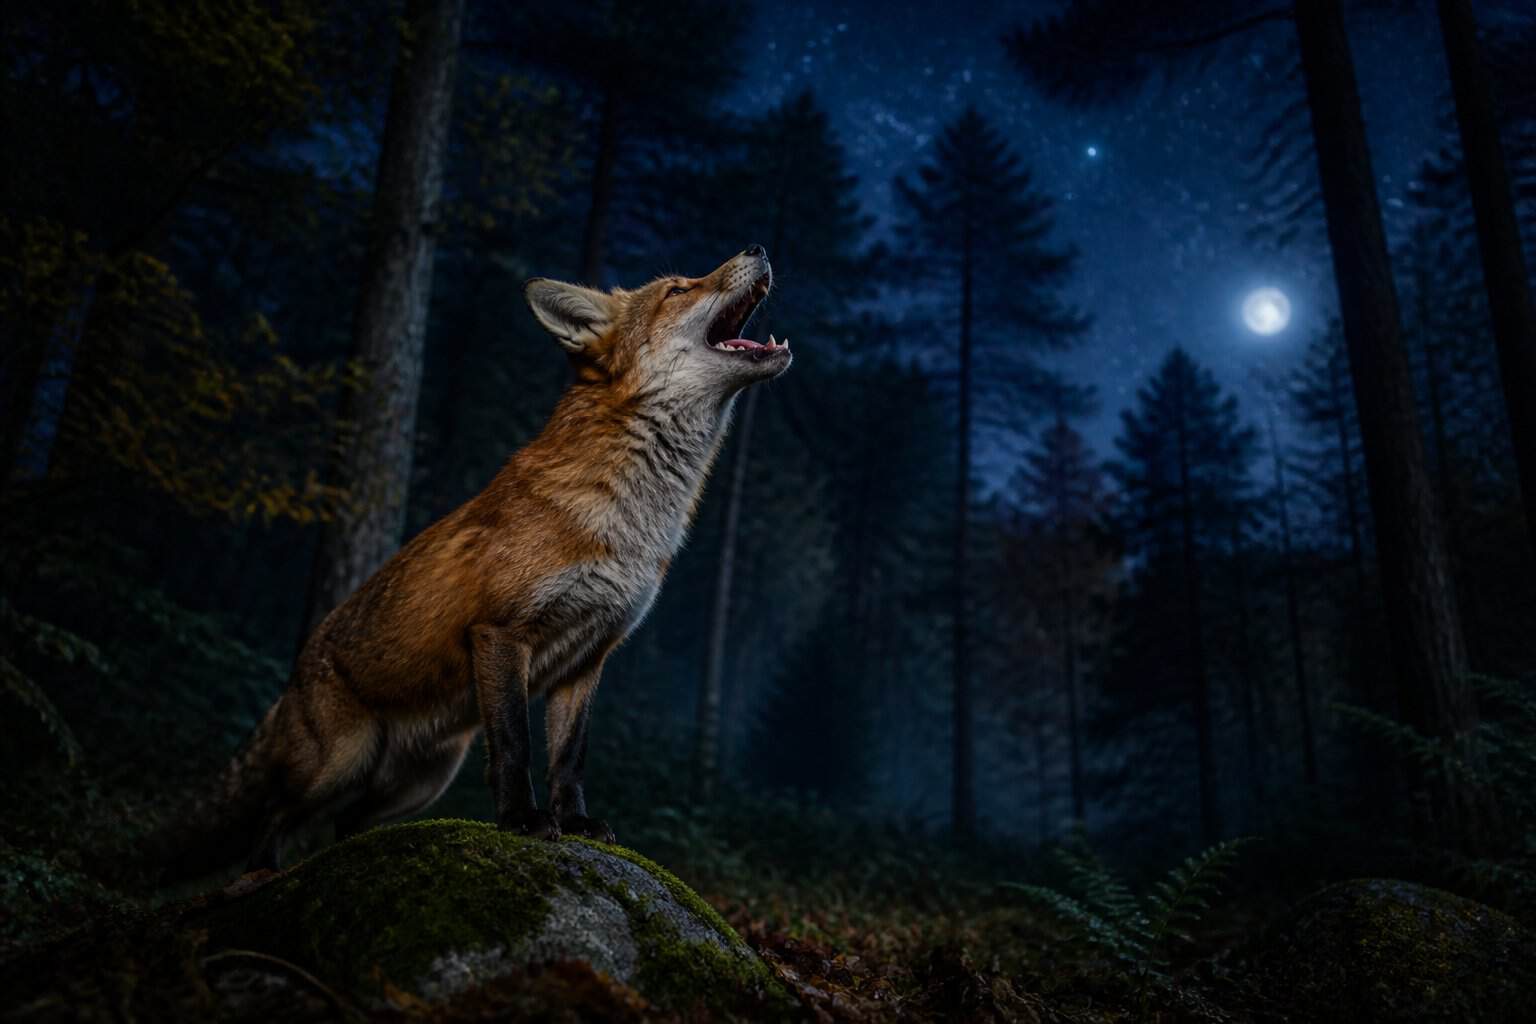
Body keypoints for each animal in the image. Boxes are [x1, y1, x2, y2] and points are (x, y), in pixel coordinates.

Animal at [164, 246, 789, 874]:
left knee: (345, 824)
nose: (758, 249)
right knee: (273, 815)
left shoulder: (589, 657)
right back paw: (261, 874)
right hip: (338, 763)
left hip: (424, 779)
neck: (634, 521)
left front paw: (577, 824)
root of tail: (295, 671)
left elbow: (569, 759)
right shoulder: (501, 631)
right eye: (678, 289)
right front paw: (521, 820)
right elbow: (515, 745)